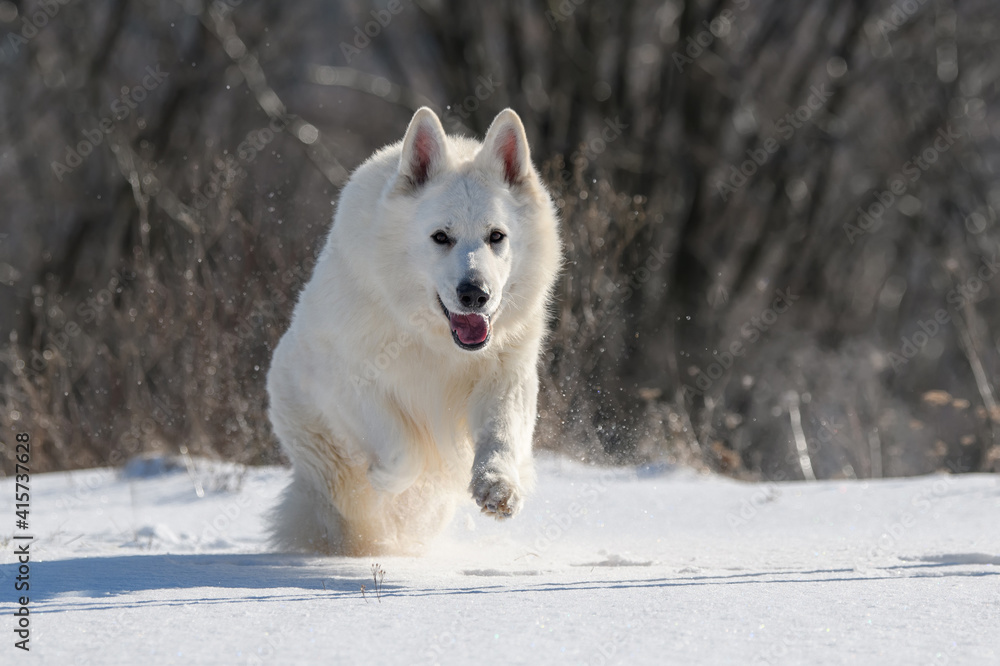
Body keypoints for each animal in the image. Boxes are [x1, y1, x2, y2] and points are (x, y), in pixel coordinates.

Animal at [266, 107, 564, 556]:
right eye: (441, 237)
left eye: (496, 236)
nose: (475, 294)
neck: (434, 341)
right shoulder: (347, 383)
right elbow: (404, 451)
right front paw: (384, 480)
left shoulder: (506, 378)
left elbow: (501, 436)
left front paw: (497, 487)